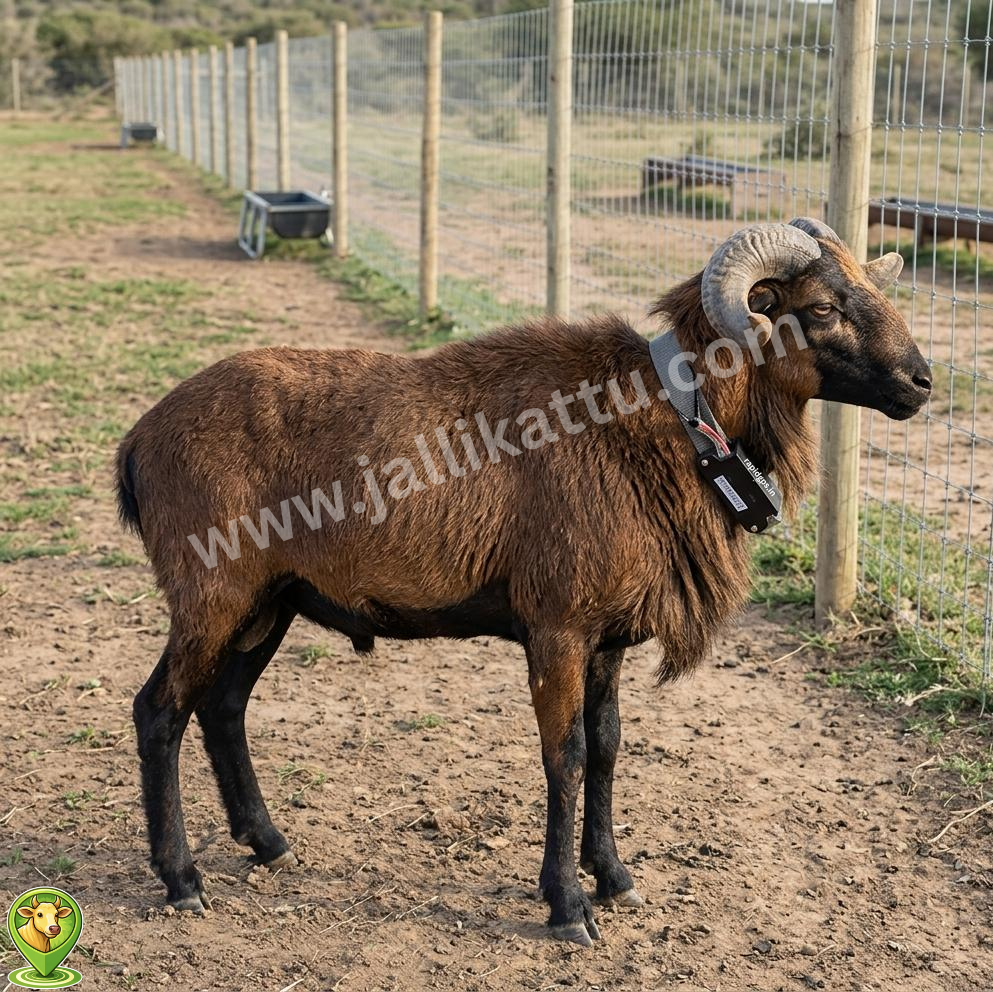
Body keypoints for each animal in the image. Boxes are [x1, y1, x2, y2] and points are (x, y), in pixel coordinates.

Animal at [118, 219, 931, 946]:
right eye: (820, 308)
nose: (922, 382)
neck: (667, 422)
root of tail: (139, 439)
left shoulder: (606, 640)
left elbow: (606, 747)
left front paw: (616, 879)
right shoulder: (556, 629)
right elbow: (563, 756)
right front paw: (568, 908)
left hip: (269, 603)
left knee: (223, 707)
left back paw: (269, 843)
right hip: (211, 596)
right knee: (159, 711)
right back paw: (182, 881)